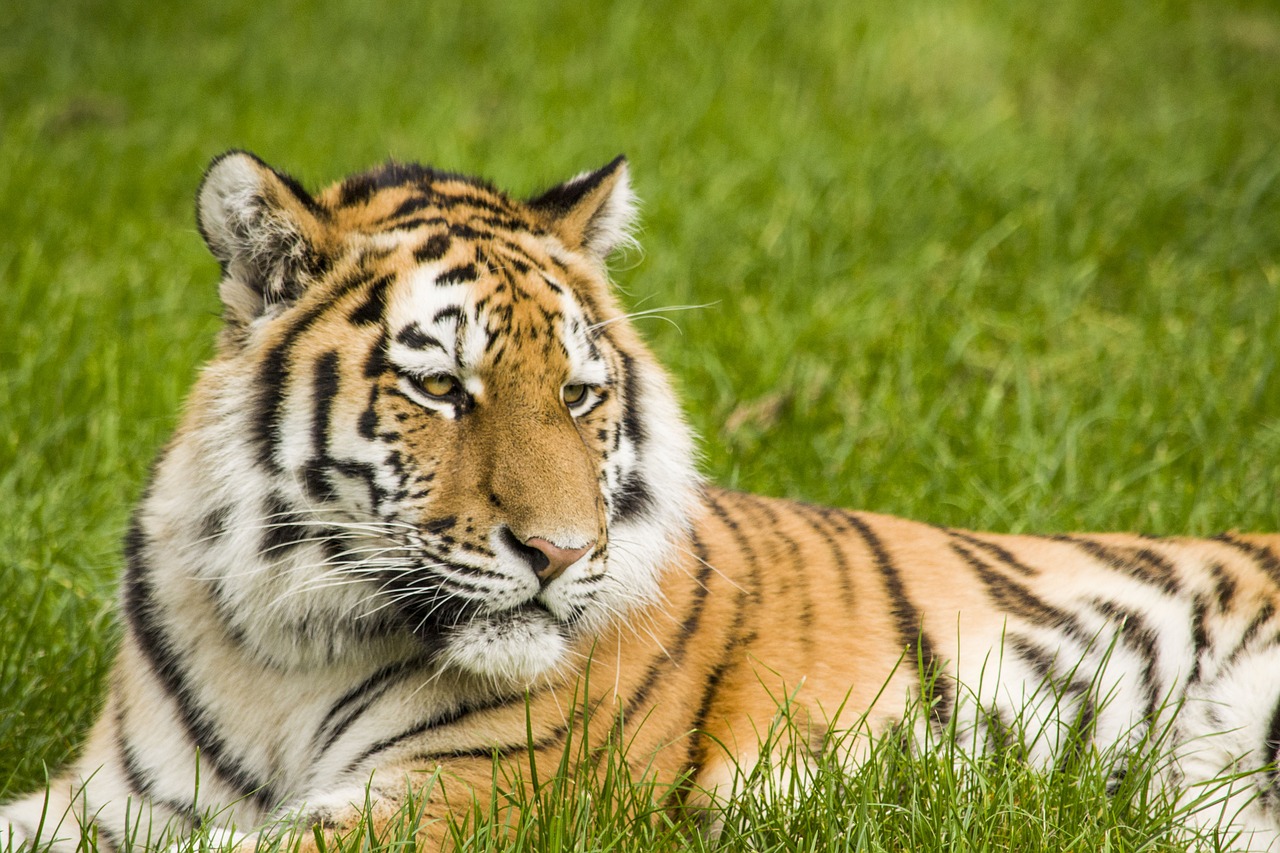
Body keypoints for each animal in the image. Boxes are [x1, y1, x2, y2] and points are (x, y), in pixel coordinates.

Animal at [2, 153, 1280, 850]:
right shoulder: (108, 797)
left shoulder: (459, 804)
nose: (561, 555)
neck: (281, 643)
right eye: (441, 387)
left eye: (577, 394)